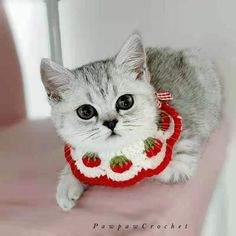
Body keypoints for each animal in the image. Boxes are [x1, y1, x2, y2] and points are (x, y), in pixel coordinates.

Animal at [40, 32, 223, 210]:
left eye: (125, 101)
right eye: (86, 111)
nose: (111, 122)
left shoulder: (184, 155)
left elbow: (161, 170)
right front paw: (67, 185)